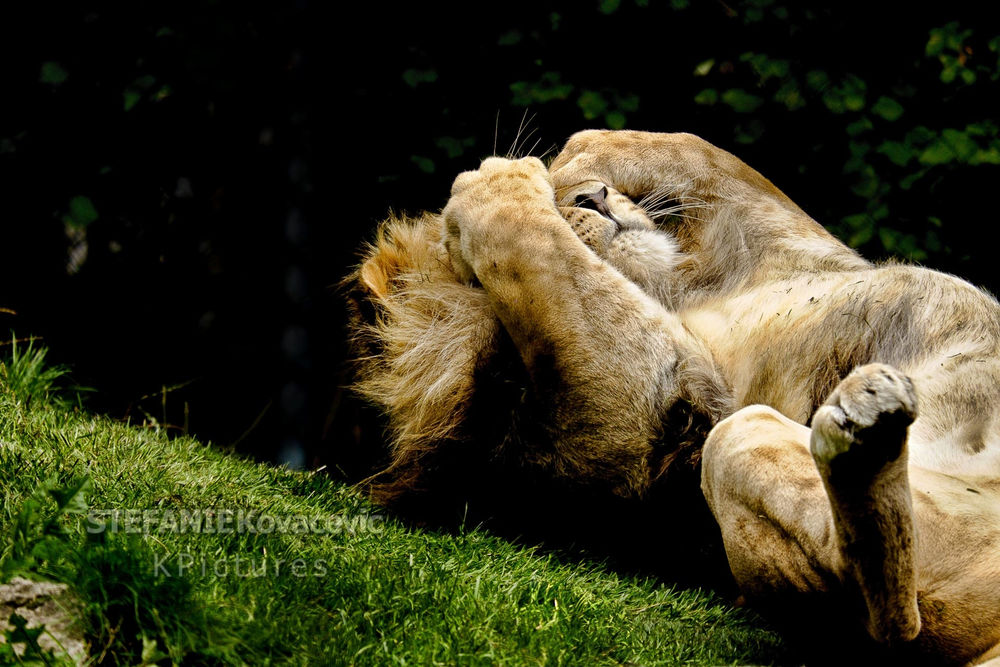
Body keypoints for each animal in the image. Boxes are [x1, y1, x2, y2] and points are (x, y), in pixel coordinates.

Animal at [346, 132, 1000, 667]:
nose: (591, 200)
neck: (700, 292)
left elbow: (698, 154)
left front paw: (563, 162)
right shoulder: (680, 400)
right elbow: (537, 250)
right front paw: (497, 189)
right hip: (750, 437)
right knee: (884, 623)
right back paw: (866, 433)